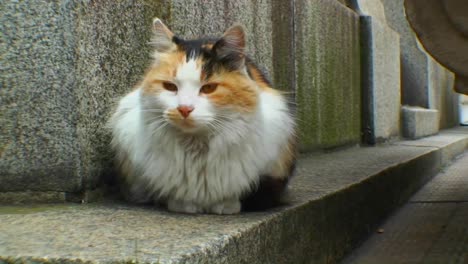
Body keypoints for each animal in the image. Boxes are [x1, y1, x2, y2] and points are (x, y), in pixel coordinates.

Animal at [109, 18, 296, 214]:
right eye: (170, 87)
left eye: (208, 88)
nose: (184, 108)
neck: (196, 147)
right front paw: (183, 204)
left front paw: (226, 206)